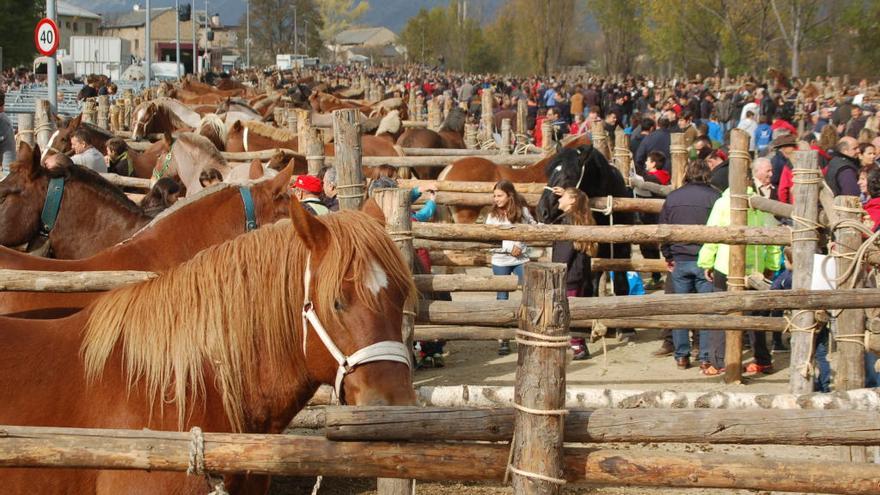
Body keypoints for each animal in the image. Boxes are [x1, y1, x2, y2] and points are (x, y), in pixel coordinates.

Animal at [536, 145, 632, 302]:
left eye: (568, 176)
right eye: (549, 173)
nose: (541, 211)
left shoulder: (622, 253)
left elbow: (621, 287)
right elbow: (589, 290)